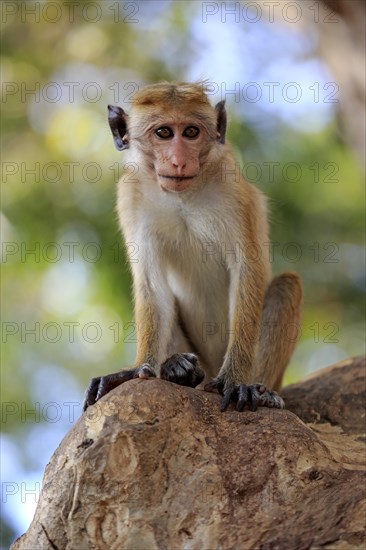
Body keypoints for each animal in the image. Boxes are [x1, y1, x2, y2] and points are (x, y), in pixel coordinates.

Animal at [83, 83, 304, 414]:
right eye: (163, 133)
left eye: (190, 132)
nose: (179, 160)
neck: (181, 197)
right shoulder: (130, 197)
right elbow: (152, 285)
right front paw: (137, 370)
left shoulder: (232, 189)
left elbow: (247, 270)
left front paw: (237, 380)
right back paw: (178, 370)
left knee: (287, 285)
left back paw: (263, 392)